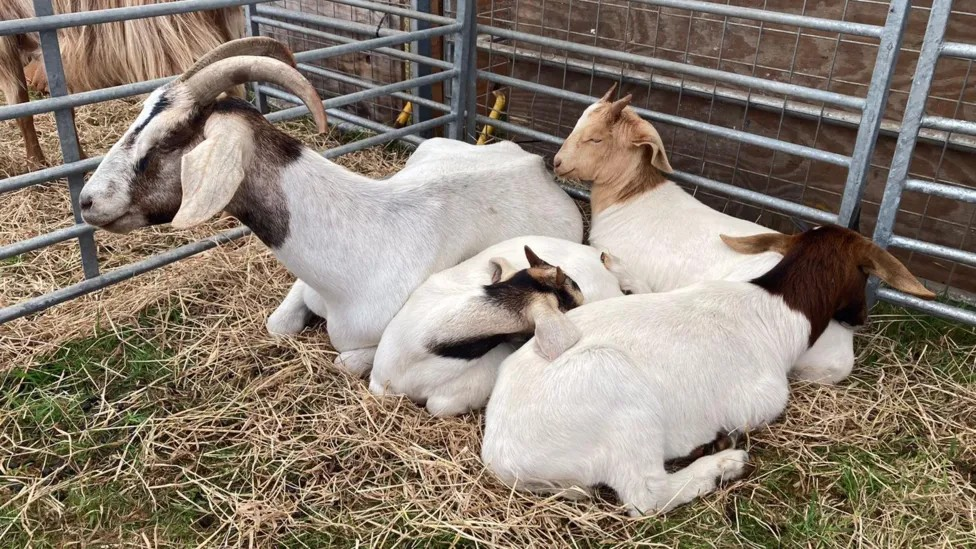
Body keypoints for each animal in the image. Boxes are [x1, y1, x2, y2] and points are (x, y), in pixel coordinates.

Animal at [80, 36, 584, 374]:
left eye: (166, 139)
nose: (87, 201)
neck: (354, 252)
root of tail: (533, 163)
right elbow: (277, 325)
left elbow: (345, 361)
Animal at [482, 222, 936, 512]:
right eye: (864, 275)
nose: (861, 319)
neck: (774, 307)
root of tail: (502, 457)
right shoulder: (761, 401)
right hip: (622, 407)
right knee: (647, 496)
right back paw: (722, 463)